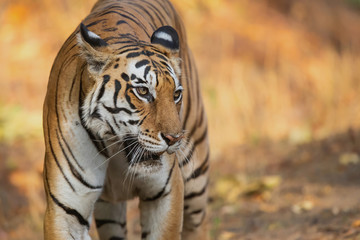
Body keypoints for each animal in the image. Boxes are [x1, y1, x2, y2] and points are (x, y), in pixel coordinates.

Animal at [43, 0, 210, 239]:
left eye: (176, 94)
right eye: (143, 91)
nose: (174, 138)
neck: (114, 147)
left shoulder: (166, 193)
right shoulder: (66, 209)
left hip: (196, 172)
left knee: (198, 222)